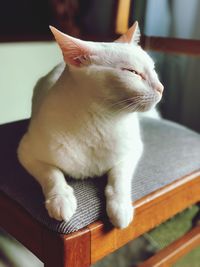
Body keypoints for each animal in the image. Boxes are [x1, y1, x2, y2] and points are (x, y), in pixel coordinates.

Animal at [18, 22, 163, 229]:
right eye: (132, 72)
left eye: (153, 69)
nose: (161, 88)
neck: (102, 121)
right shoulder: (26, 152)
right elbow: (51, 174)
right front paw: (60, 199)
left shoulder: (133, 150)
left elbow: (119, 177)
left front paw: (120, 207)